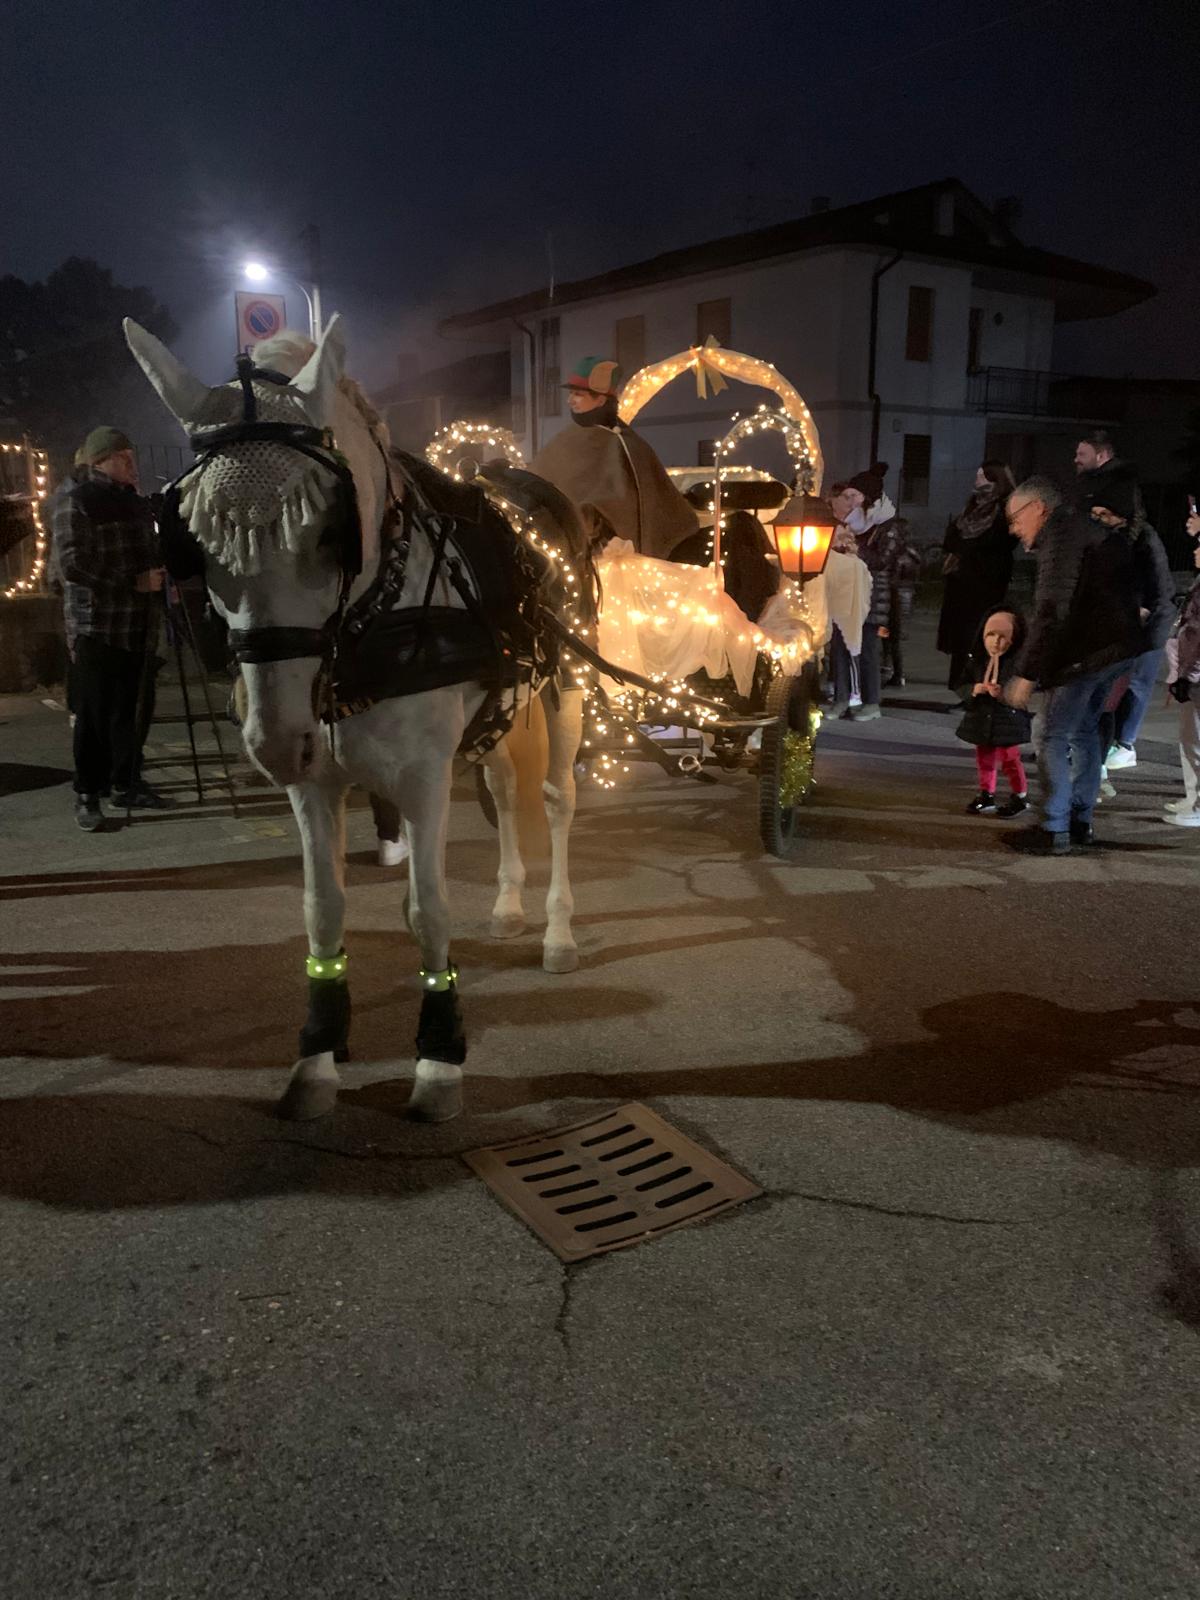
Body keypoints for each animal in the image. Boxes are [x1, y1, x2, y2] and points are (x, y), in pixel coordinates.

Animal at [125, 315, 588, 1126]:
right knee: (505, 790)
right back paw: (507, 905)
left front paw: (439, 1055)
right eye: (194, 544)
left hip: (565, 692)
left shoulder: (424, 778)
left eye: (327, 532)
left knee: (556, 799)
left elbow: (427, 909)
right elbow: (324, 907)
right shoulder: (315, 783)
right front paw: (316, 1054)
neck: (365, 630)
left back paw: (557, 931)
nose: (274, 741)